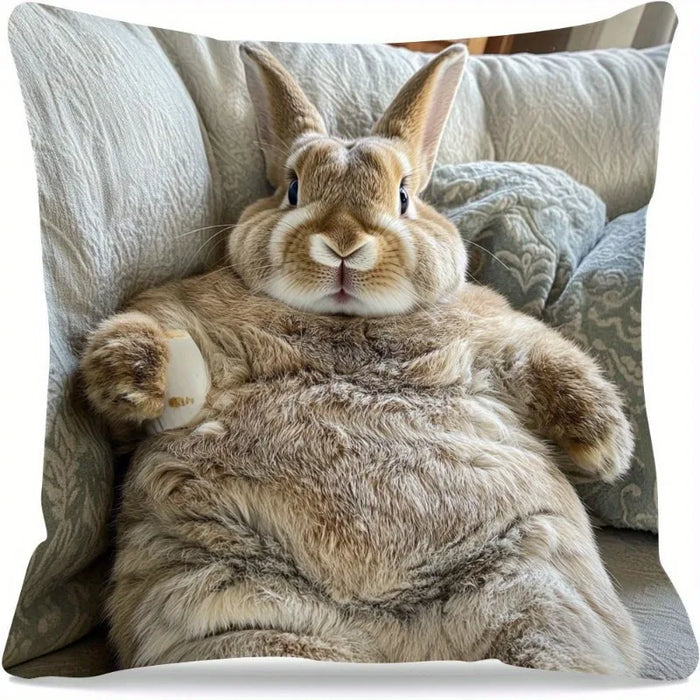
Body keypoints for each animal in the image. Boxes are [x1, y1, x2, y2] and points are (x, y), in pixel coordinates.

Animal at [80, 43, 642, 675]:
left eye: (403, 196)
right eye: (293, 188)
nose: (344, 244)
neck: (348, 323)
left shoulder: (500, 333)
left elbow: (553, 362)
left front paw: (605, 449)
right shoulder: (182, 312)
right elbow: (151, 334)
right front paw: (133, 377)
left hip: (534, 596)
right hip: (240, 616)